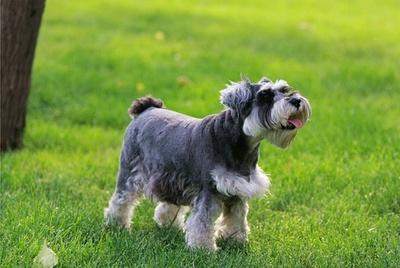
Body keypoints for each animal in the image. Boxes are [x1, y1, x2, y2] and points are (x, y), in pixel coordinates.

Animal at [104, 76, 310, 250]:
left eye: (284, 89)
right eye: (265, 96)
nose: (296, 101)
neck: (237, 143)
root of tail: (147, 109)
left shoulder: (238, 191)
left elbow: (237, 218)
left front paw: (236, 240)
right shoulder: (208, 191)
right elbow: (202, 222)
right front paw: (204, 249)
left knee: (169, 204)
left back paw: (168, 224)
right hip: (130, 172)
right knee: (121, 199)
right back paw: (116, 225)